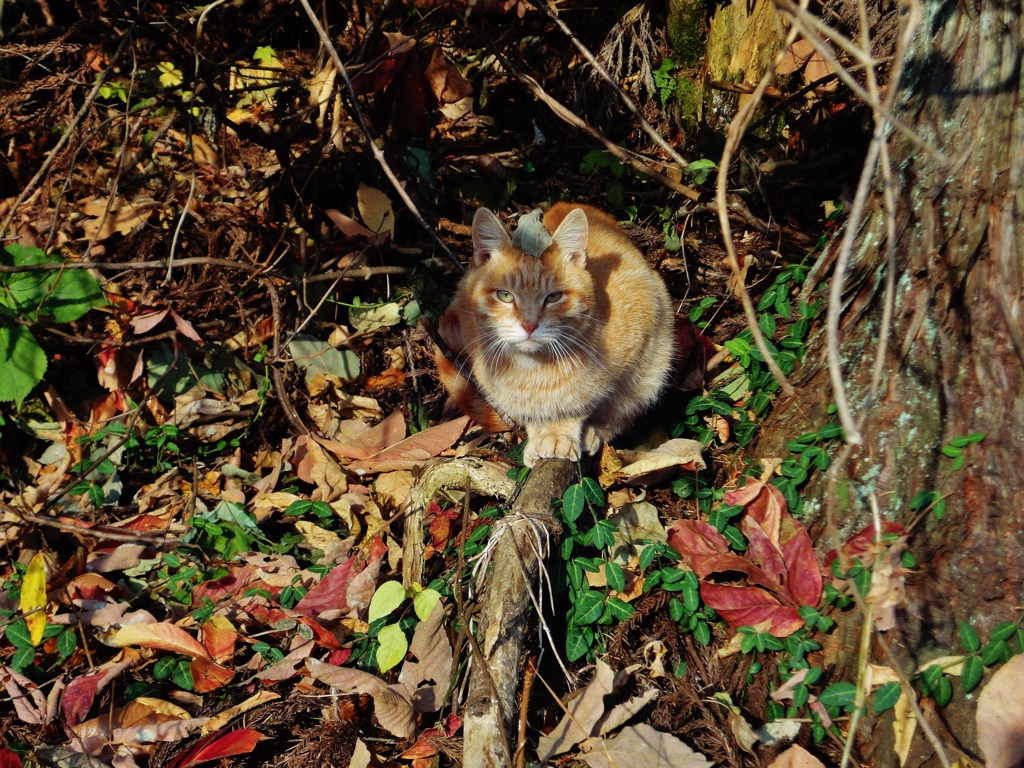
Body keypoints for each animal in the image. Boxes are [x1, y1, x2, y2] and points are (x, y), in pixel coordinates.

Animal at [436, 204, 675, 466]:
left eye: (553, 297)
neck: (533, 370)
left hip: (655, 364)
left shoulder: (636, 346)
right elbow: (530, 413)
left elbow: (589, 402)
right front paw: (540, 434)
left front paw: (562, 432)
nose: (529, 325)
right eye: (505, 295)